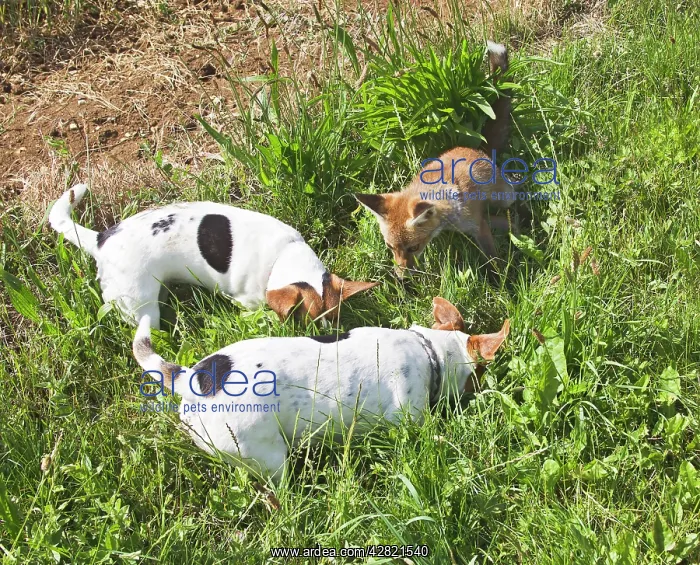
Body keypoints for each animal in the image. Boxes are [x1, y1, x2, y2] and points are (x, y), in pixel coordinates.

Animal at [355, 41, 515, 279]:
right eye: (390, 247)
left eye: (413, 247)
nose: (401, 277)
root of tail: (477, 148)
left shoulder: (478, 226)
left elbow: (492, 259)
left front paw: (501, 281)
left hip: (506, 196)